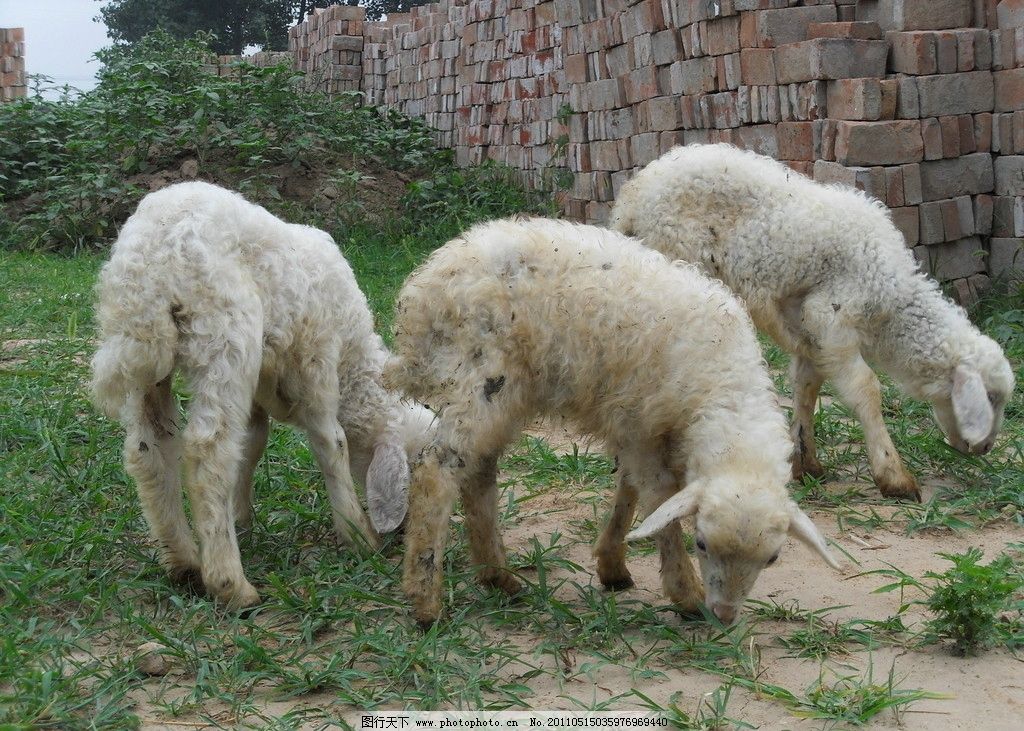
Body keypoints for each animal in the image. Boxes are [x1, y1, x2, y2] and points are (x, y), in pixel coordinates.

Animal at [89, 181, 436, 610]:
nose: (405, 534)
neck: (353, 360)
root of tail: (154, 253)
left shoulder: (260, 390)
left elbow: (252, 443)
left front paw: (240, 517)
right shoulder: (317, 357)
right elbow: (331, 442)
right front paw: (358, 536)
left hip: (147, 361)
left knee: (148, 449)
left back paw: (184, 562)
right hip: (226, 334)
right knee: (209, 451)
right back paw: (230, 584)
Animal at [385, 213, 839, 622]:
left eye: (773, 559)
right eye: (702, 544)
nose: (724, 615)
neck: (723, 384)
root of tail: (422, 290)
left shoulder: (638, 429)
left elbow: (629, 492)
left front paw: (612, 564)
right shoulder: (643, 426)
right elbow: (658, 499)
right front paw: (685, 593)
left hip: (505, 394)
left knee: (478, 470)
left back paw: (499, 578)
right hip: (480, 377)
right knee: (437, 469)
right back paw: (426, 600)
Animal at [606, 141, 1015, 501]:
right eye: (991, 397)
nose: (985, 447)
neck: (891, 298)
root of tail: (631, 199)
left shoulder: (808, 329)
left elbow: (806, 385)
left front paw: (805, 460)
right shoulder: (831, 316)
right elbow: (866, 389)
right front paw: (893, 475)